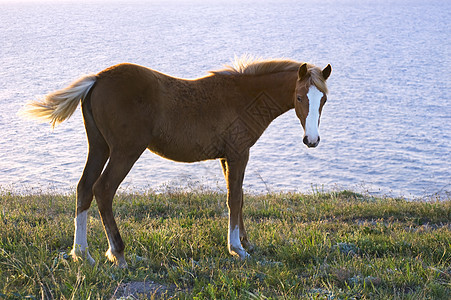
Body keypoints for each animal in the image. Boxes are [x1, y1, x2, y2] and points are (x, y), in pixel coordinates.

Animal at [22, 57, 332, 266]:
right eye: (300, 97)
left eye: (324, 100)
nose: (312, 140)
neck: (243, 96)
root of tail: (97, 78)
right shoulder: (238, 153)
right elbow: (234, 198)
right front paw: (236, 248)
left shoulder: (226, 156)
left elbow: (239, 197)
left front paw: (246, 242)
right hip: (125, 150)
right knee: (104, 189)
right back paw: (118, 253)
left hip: (99, 146)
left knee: (84, 188)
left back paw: (82, 254)